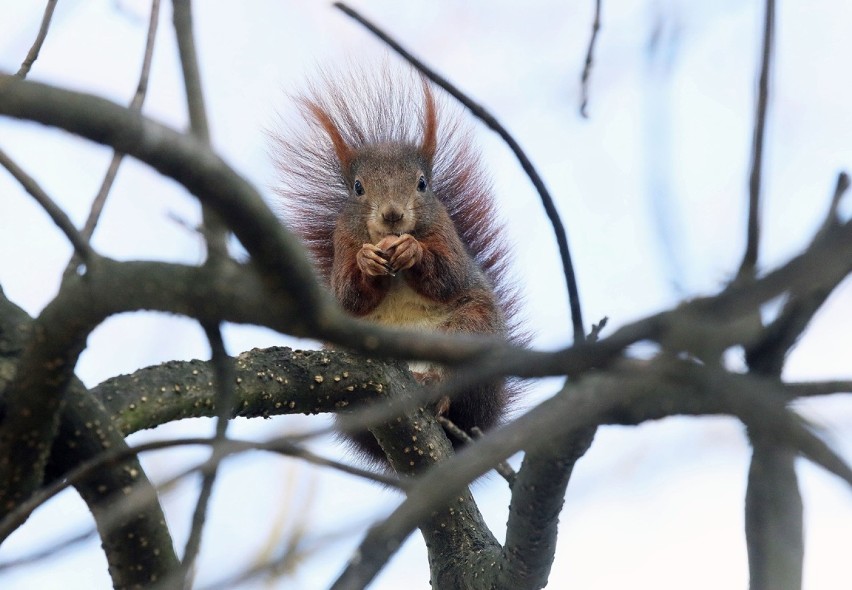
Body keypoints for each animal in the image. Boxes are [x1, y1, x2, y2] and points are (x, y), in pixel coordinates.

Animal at [270, 67, 524, 468]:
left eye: (422, 183)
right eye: (358, 188)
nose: (392, 215)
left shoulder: (445, 234)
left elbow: (450, 276)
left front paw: (412, 250)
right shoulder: (343, 241)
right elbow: (347, 295)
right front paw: (366, 263)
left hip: (473, 327)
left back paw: (436, 390)